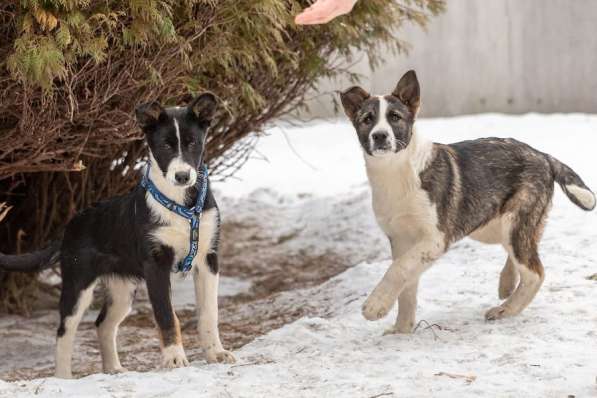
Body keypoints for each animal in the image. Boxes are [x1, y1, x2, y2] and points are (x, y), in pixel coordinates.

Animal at [0, 91, 236, 378]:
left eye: (193, 143)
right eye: (166, 146)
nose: (182, 176)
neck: (181, 204)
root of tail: (71, 225)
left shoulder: (207, 259)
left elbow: (209, 313)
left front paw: (216, 353)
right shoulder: (156, 264)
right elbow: (167, 316)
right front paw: (174, 359)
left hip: (122, 289)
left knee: (103, 323)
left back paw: (113, 368)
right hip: (78, 283)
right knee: (64, 331)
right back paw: (64, 378)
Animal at [340, 70, 596, 332]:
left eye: (394, 117)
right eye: (367, 119)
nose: (379, 136)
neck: (395, 171)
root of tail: (543, 156)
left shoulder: (435, 238)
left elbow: (398, 269)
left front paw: (374, 307)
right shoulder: (401, 239)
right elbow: (407, 286)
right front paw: (402, 330)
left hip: (514, 221)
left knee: (535, 272)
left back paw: (506, 309)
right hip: (492, 225)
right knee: (525, 253)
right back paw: (506, 283)